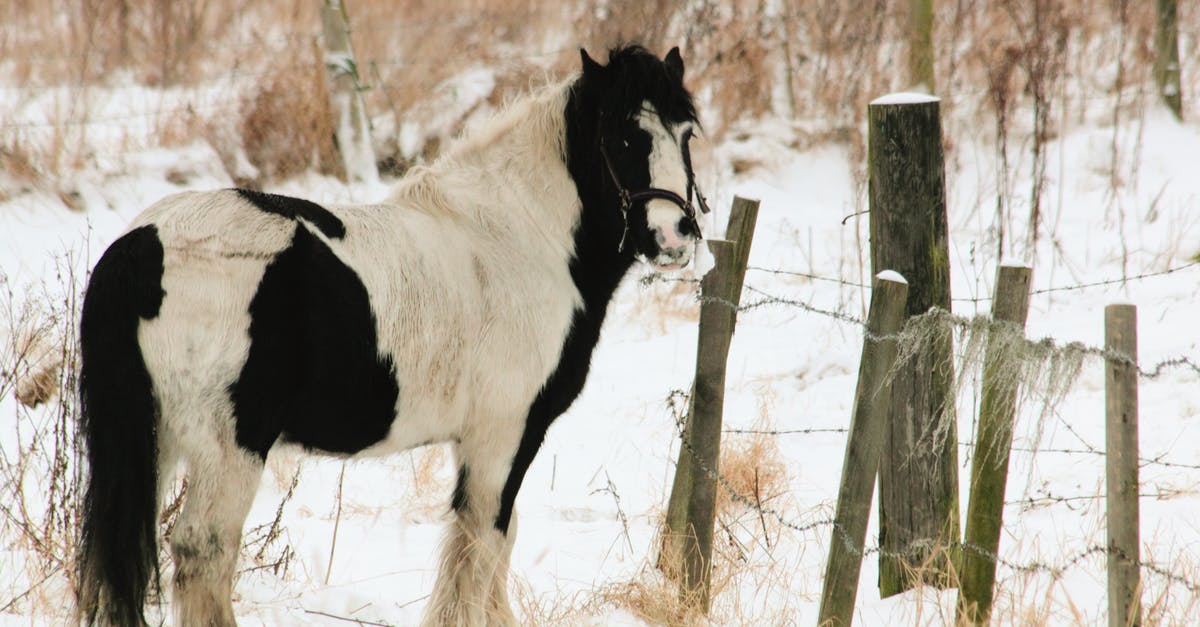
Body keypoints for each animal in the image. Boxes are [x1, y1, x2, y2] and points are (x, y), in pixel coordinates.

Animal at [75, 45, 705, 624]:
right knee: (203, 552)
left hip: (157, 440)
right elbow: (484, 547)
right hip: (228, 446)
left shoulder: (481, 441)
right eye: (623, 138)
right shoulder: (504, 435)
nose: (676, 237)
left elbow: (492, 546)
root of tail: (142, 246)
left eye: (687, 134)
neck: (521, 240)